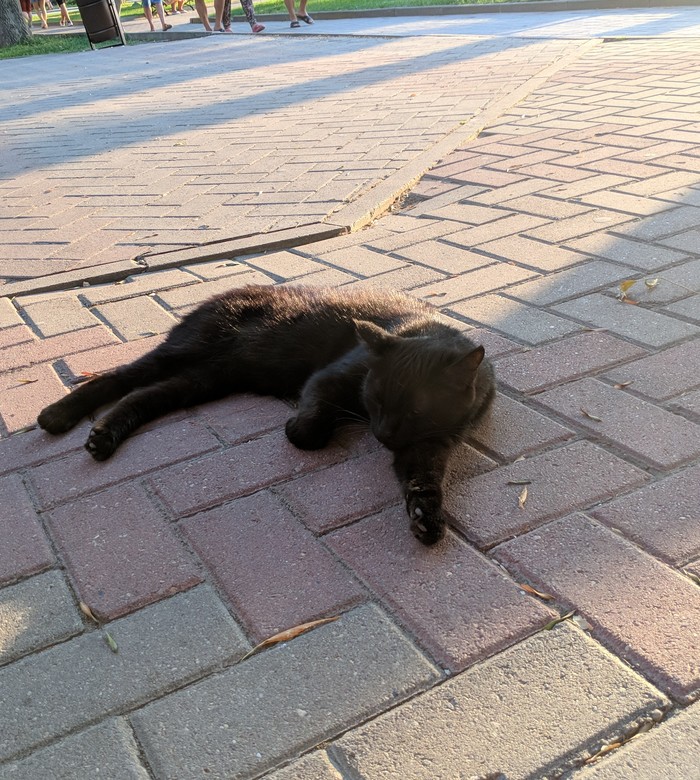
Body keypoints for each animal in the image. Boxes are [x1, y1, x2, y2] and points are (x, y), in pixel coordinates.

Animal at [38, 284, 494, 544]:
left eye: (417, 410)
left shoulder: (432, 444)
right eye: (375, 399)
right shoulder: (328, 378)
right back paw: (57, 416)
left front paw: (426, 517)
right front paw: (297, 426)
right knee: (117, 379)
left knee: (142, 398)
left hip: (202, 381)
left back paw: (103, 436)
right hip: (184, 353)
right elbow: (309, 430)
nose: (382, 434)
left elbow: (424, 480)